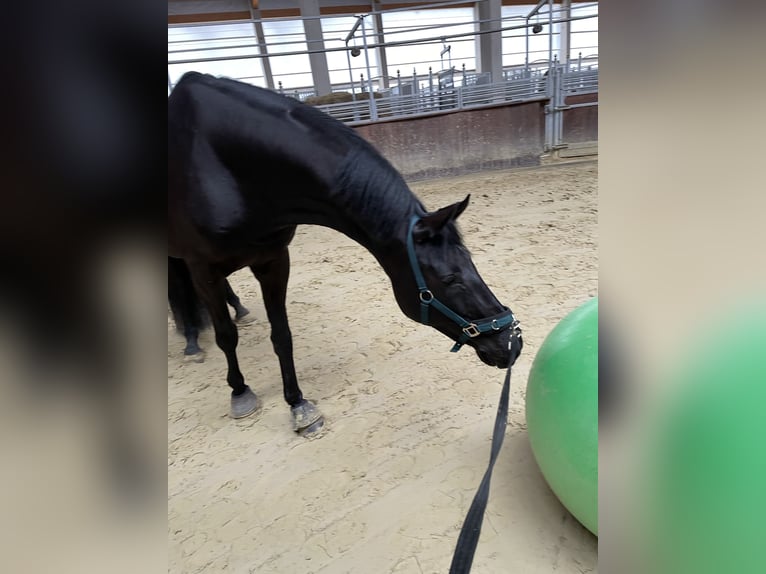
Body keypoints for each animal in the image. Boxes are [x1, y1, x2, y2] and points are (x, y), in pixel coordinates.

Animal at [170, 72, 524, 436]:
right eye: (451, 279)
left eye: (471, 263)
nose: (512, 344)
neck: (226, 167)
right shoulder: (204, 269)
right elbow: (226, 336)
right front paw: (240, 392)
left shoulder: (273, 261)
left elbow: (282, 335)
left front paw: (298, 404)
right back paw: (192, 342)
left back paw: (236, 311)